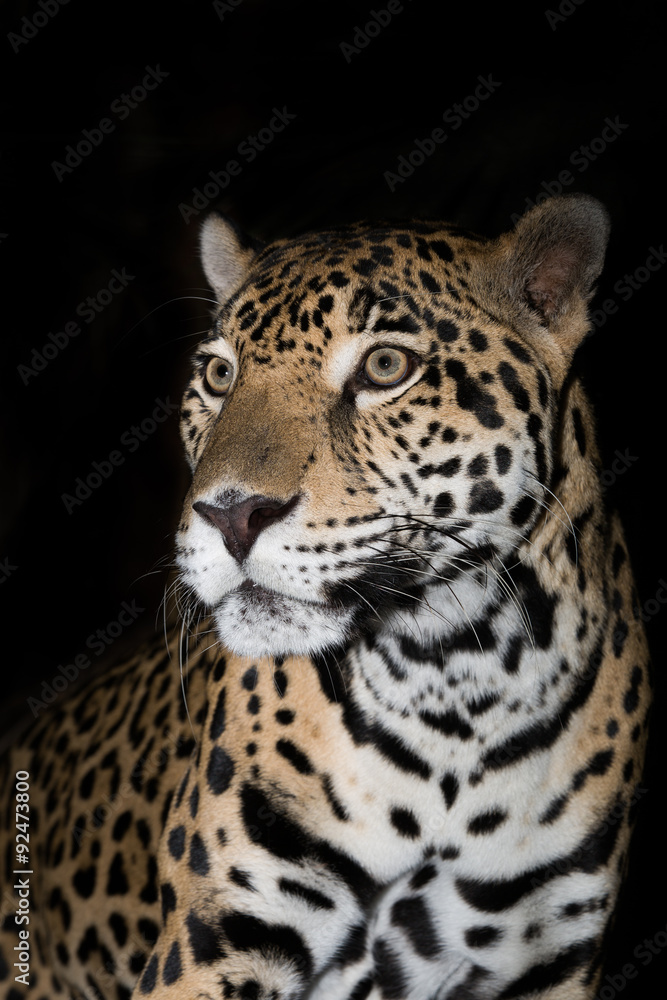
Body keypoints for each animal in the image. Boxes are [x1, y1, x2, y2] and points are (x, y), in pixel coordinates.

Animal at [0, 193, 651, 1000]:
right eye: (219, 374)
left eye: (385, 366)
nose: (229, 515)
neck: (458, 679)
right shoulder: (214, 941)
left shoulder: (548, 957)